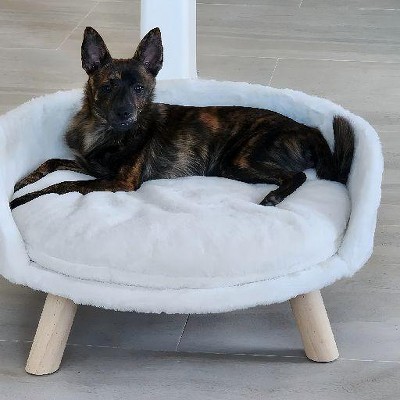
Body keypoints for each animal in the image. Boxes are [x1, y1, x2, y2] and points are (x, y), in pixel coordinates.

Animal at [10, 27, 354, 210]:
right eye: (107, 86)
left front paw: (19, 201)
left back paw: (274, 197)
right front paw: (22, 182)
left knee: (298, 176)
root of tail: (309, 130)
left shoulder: (120, 182)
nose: (125, 113)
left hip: (241, 160)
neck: (105, 130)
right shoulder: (91, 166)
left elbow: (61, 185)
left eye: (139, 88)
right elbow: (51, 162)